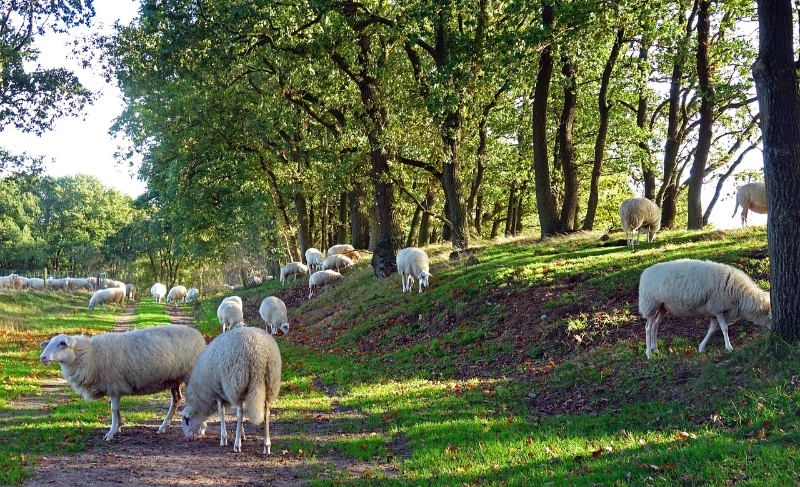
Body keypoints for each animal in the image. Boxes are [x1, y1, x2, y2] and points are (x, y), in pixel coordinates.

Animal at [39, 324, 206, 442]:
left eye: (62, 343)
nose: (42, 358)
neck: (90, 354)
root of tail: (199, 336)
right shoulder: (114, 388)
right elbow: (116, 409)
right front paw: (119, 425)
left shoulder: (114, 384)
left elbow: (113, 409)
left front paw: (111, 432)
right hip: (174, 379)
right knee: (176, 400)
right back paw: (163, 426)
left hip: (191, 375)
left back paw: (201, 429)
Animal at [181, 326, 282, 456]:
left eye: (187, 419)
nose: (188, 438)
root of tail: (258, 354)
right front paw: (243, 435)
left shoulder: (217, 392)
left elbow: (222, 412)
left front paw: (224, 438)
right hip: (270, 383)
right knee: (266, 413)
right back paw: (266, 445)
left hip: (236, 382)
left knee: (239, 414)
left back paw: (237, 445)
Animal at [636, 260, 768, 358]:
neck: (741, 296)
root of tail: (645, 272)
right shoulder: (718, 307)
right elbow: (724, 328)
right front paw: (729, 347)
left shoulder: (713, 311)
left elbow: (712, 330)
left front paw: (701, 347)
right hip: (650, 304)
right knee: (648, 327)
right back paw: (648, 353)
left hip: (662, 307)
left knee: (655, 325)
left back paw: (655, 348)